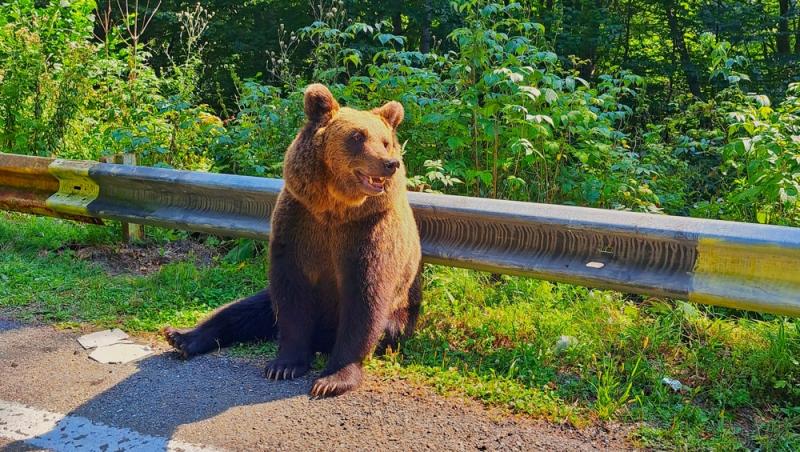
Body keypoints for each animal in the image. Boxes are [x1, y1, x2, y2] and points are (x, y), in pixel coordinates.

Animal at [164, 84, 424, 396]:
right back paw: (181, 336)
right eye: (357, 136)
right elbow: (291, 292)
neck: (334, 209)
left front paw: (332, 379)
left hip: (403, 310)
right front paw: (284, 365)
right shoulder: (298, 221)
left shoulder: (368, 231)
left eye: (386, 142)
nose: (389, 163)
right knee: (245, 309)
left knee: (387, 327)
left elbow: (366, 297)